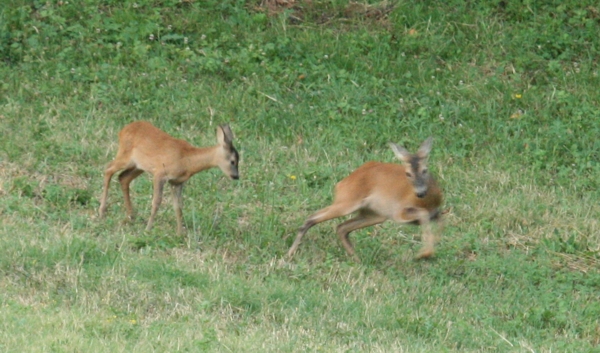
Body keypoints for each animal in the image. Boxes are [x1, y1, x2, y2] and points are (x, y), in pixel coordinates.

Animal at [98, 121, 239, 234]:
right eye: (233, 161)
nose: (236, 176)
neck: (187, 160)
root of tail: (123, 130)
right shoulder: (160, 174)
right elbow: (156, 202)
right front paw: (148, 229)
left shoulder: (177, 182)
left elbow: (178, 206)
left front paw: (180, 233)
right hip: (125, 156)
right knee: (108, 169)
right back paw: (102, 212)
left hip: (139, 166)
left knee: (123, 177)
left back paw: (130, 216)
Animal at [288, 136, 442, 260]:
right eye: (408, 174)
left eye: (425, 170)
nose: (420, 193)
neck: (429, 201)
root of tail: (340, 183)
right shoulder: (399, 213)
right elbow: (423, 214)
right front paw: (424, 254)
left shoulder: (437, 214)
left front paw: (427, 252)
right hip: (348, 201)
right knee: (314, 217)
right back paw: (291, 252)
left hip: (373, 214)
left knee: (341, 227)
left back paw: (356, 259)